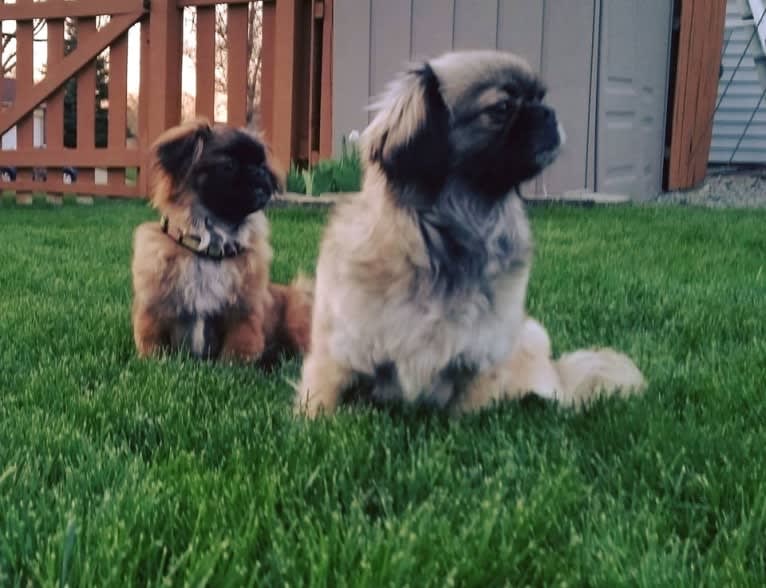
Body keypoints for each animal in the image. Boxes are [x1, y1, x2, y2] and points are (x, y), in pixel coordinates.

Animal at [132, 117, 312, 366]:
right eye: (229, 166)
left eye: (262, 164)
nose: (259, 172)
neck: (211, 247)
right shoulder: (154, 309)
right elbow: (153, 343)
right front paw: (155, 361)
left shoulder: (244, 314)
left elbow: (237, 349)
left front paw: (234, 366)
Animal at [296, 51, 644, 418]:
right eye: (502, 107)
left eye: (541, 98)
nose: (549, 113)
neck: (442, 243)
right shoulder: (335, 355)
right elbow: (320, 405)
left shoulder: (480, 362)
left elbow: (468, 414)